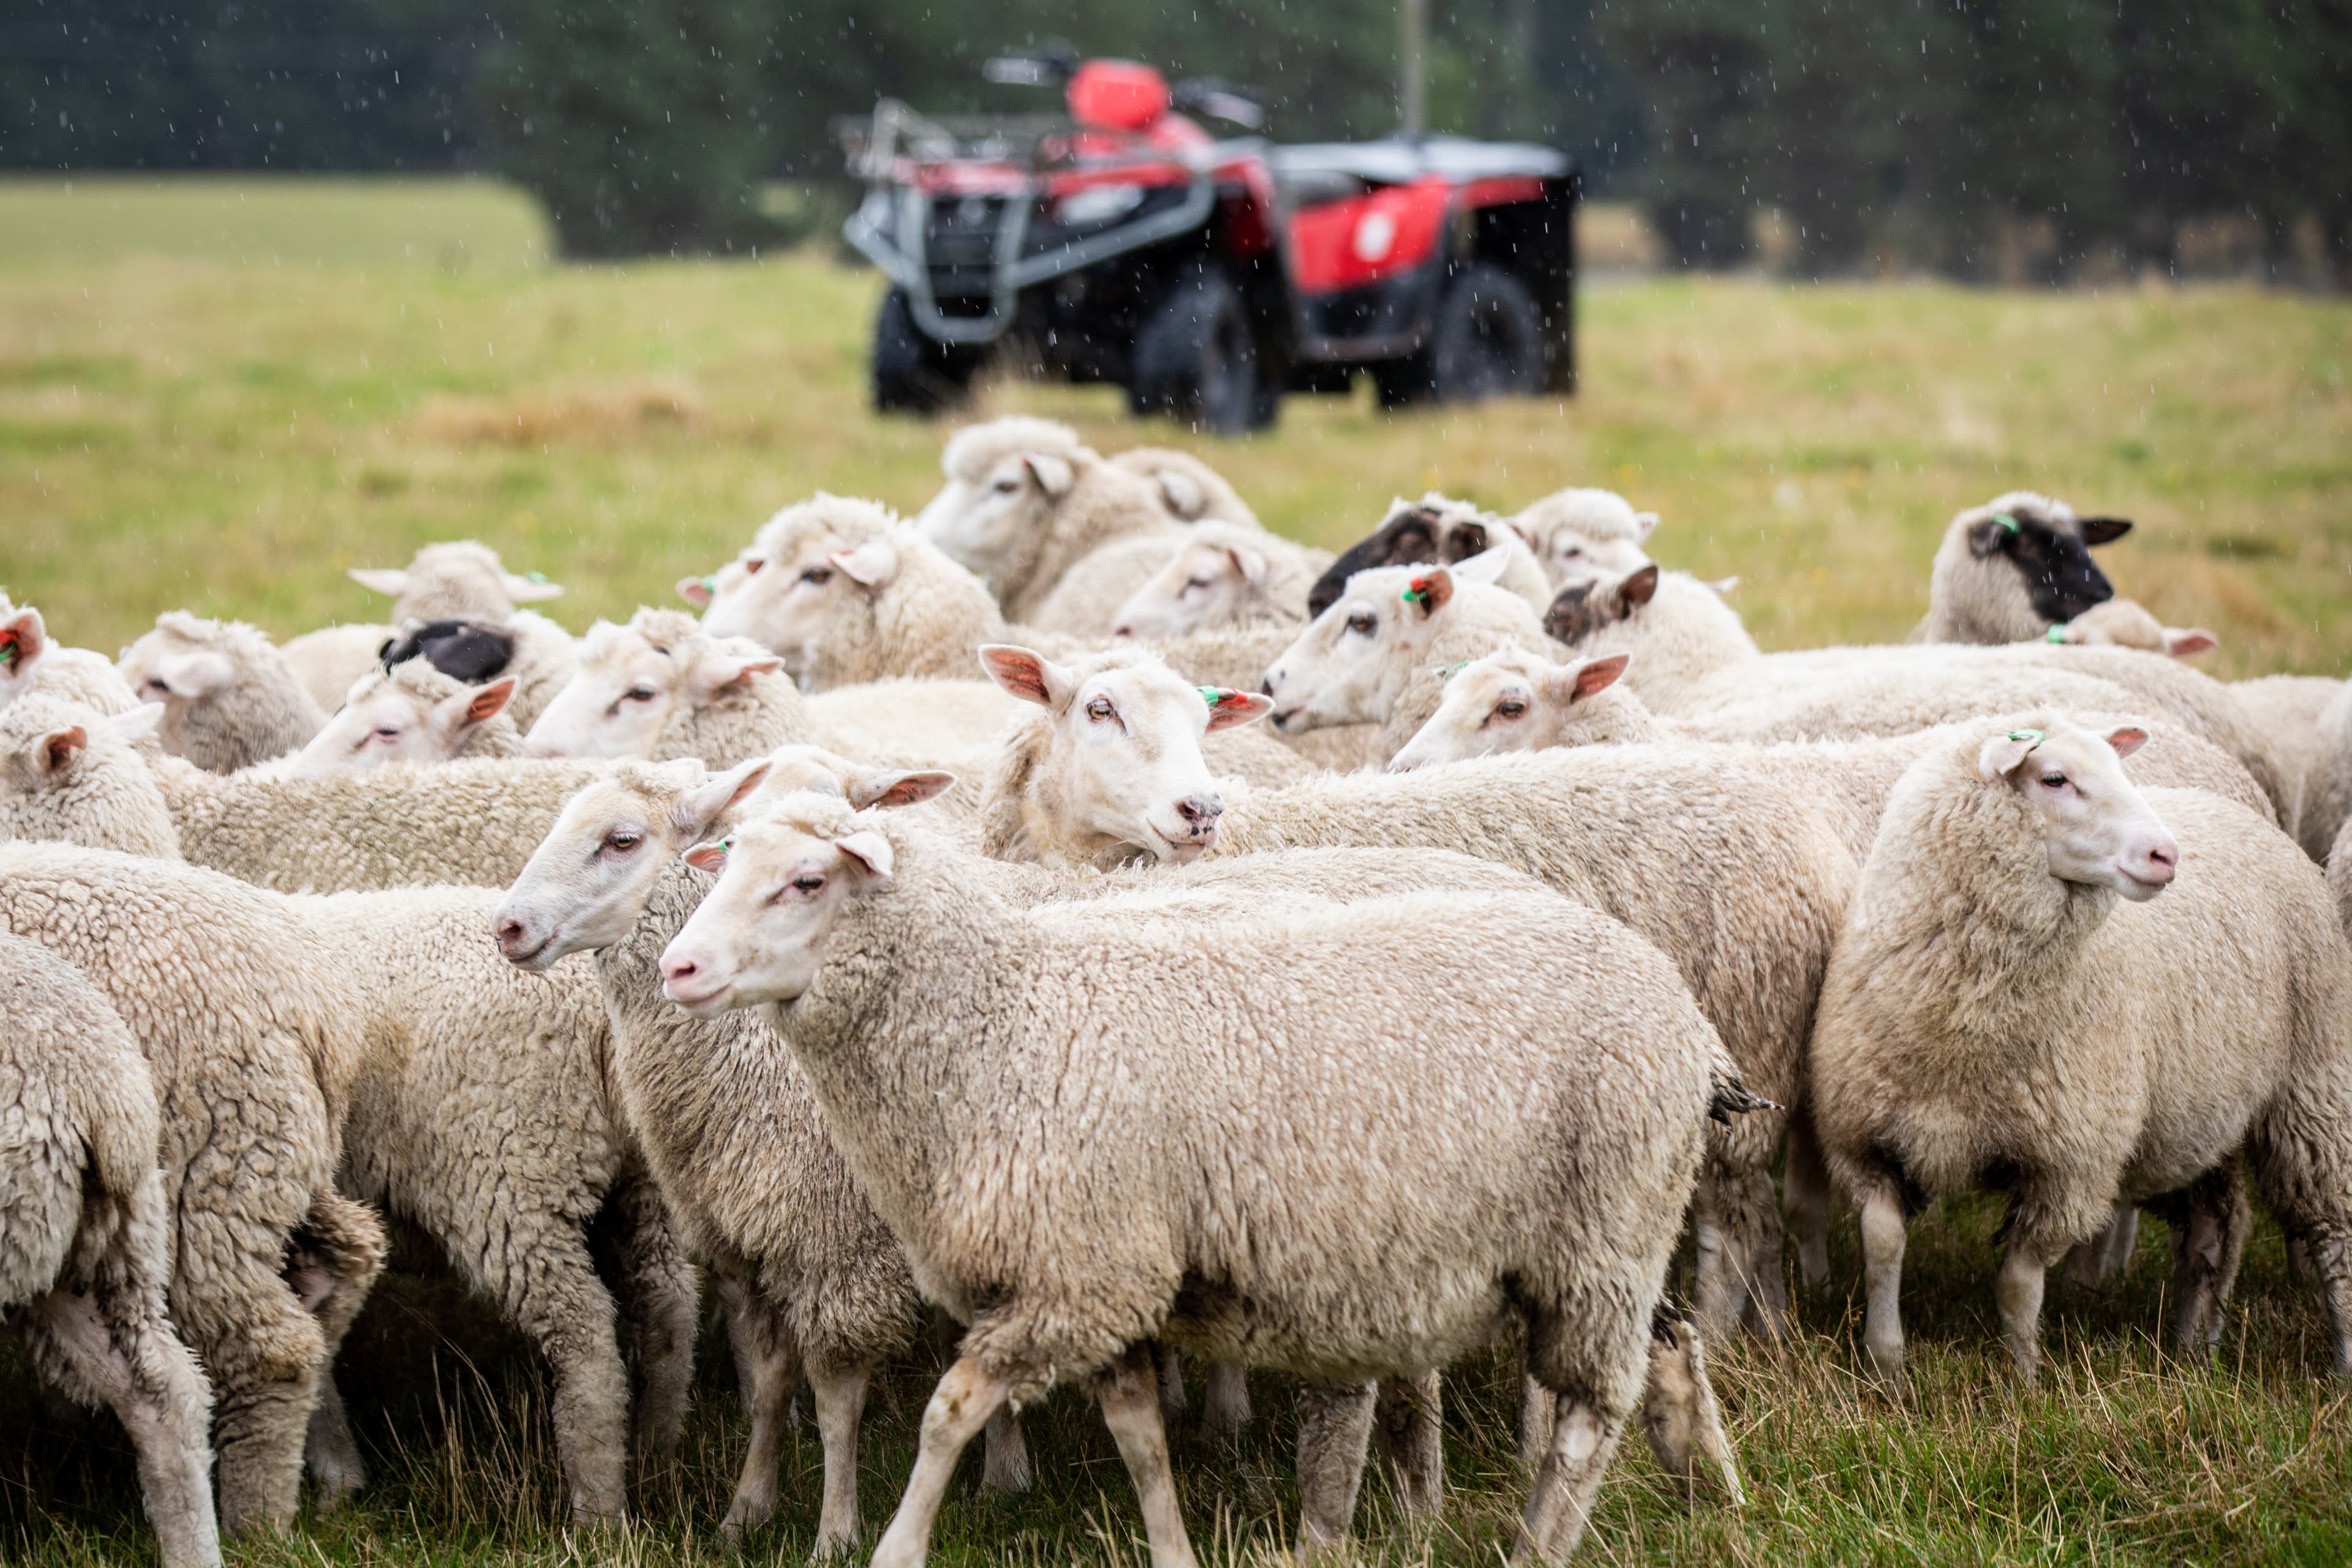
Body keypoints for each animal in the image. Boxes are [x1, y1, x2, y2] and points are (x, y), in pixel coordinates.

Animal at [653, 788, 1744, 1567]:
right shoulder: (1105, 1285)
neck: (1005, 1021)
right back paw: (1710, 1491)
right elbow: (1141, 1441)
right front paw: (1173, 1549)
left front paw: (893, 1549)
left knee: (1588, 1419)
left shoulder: (1079, 1275)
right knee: (1664, 1349)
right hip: (1594, 1242)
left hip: (1600, 1235)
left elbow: (948, 1413)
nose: (678, 969)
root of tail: (1683, 1010)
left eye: (806, 881)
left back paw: (1540, 1547)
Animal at [977, 642, 1857, 1341]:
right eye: (1099, 709)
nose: (1201, 810)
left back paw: (1728, 1336)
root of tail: (1806, 832)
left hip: (1746, 1037)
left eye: (1204, 726)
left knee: (1734, 1222)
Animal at [1808, 715, 2352, 1386]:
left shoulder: (2067, 1167)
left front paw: (2023, 1381)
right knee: (2214, 1230)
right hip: (2199, 1115)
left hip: (2314, 1088)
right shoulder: (1869, 1141)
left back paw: (2339, 1360)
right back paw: (2191, 1349)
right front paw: (1886, 1367)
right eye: (2054, 778)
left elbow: (2018, 1283)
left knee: (2333, 1239)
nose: (2166, 855)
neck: (1964, 1034)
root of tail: (2248, 817)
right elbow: (1882, 1245)